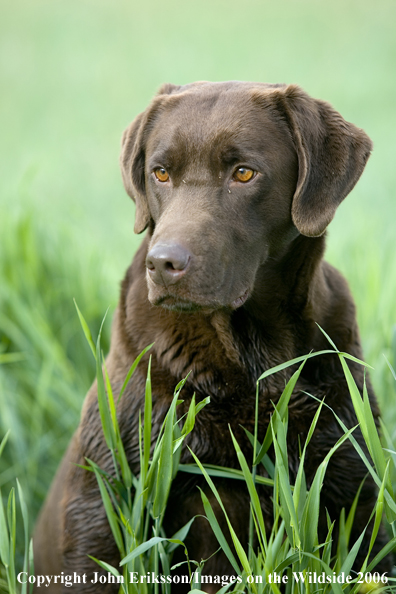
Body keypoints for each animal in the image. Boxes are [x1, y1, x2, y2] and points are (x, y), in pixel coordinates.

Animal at [34, 81, 390, 588]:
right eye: (160, 173)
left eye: (243, 173)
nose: (163, 263)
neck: (250, 354)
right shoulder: (104, 503)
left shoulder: (353, 492)